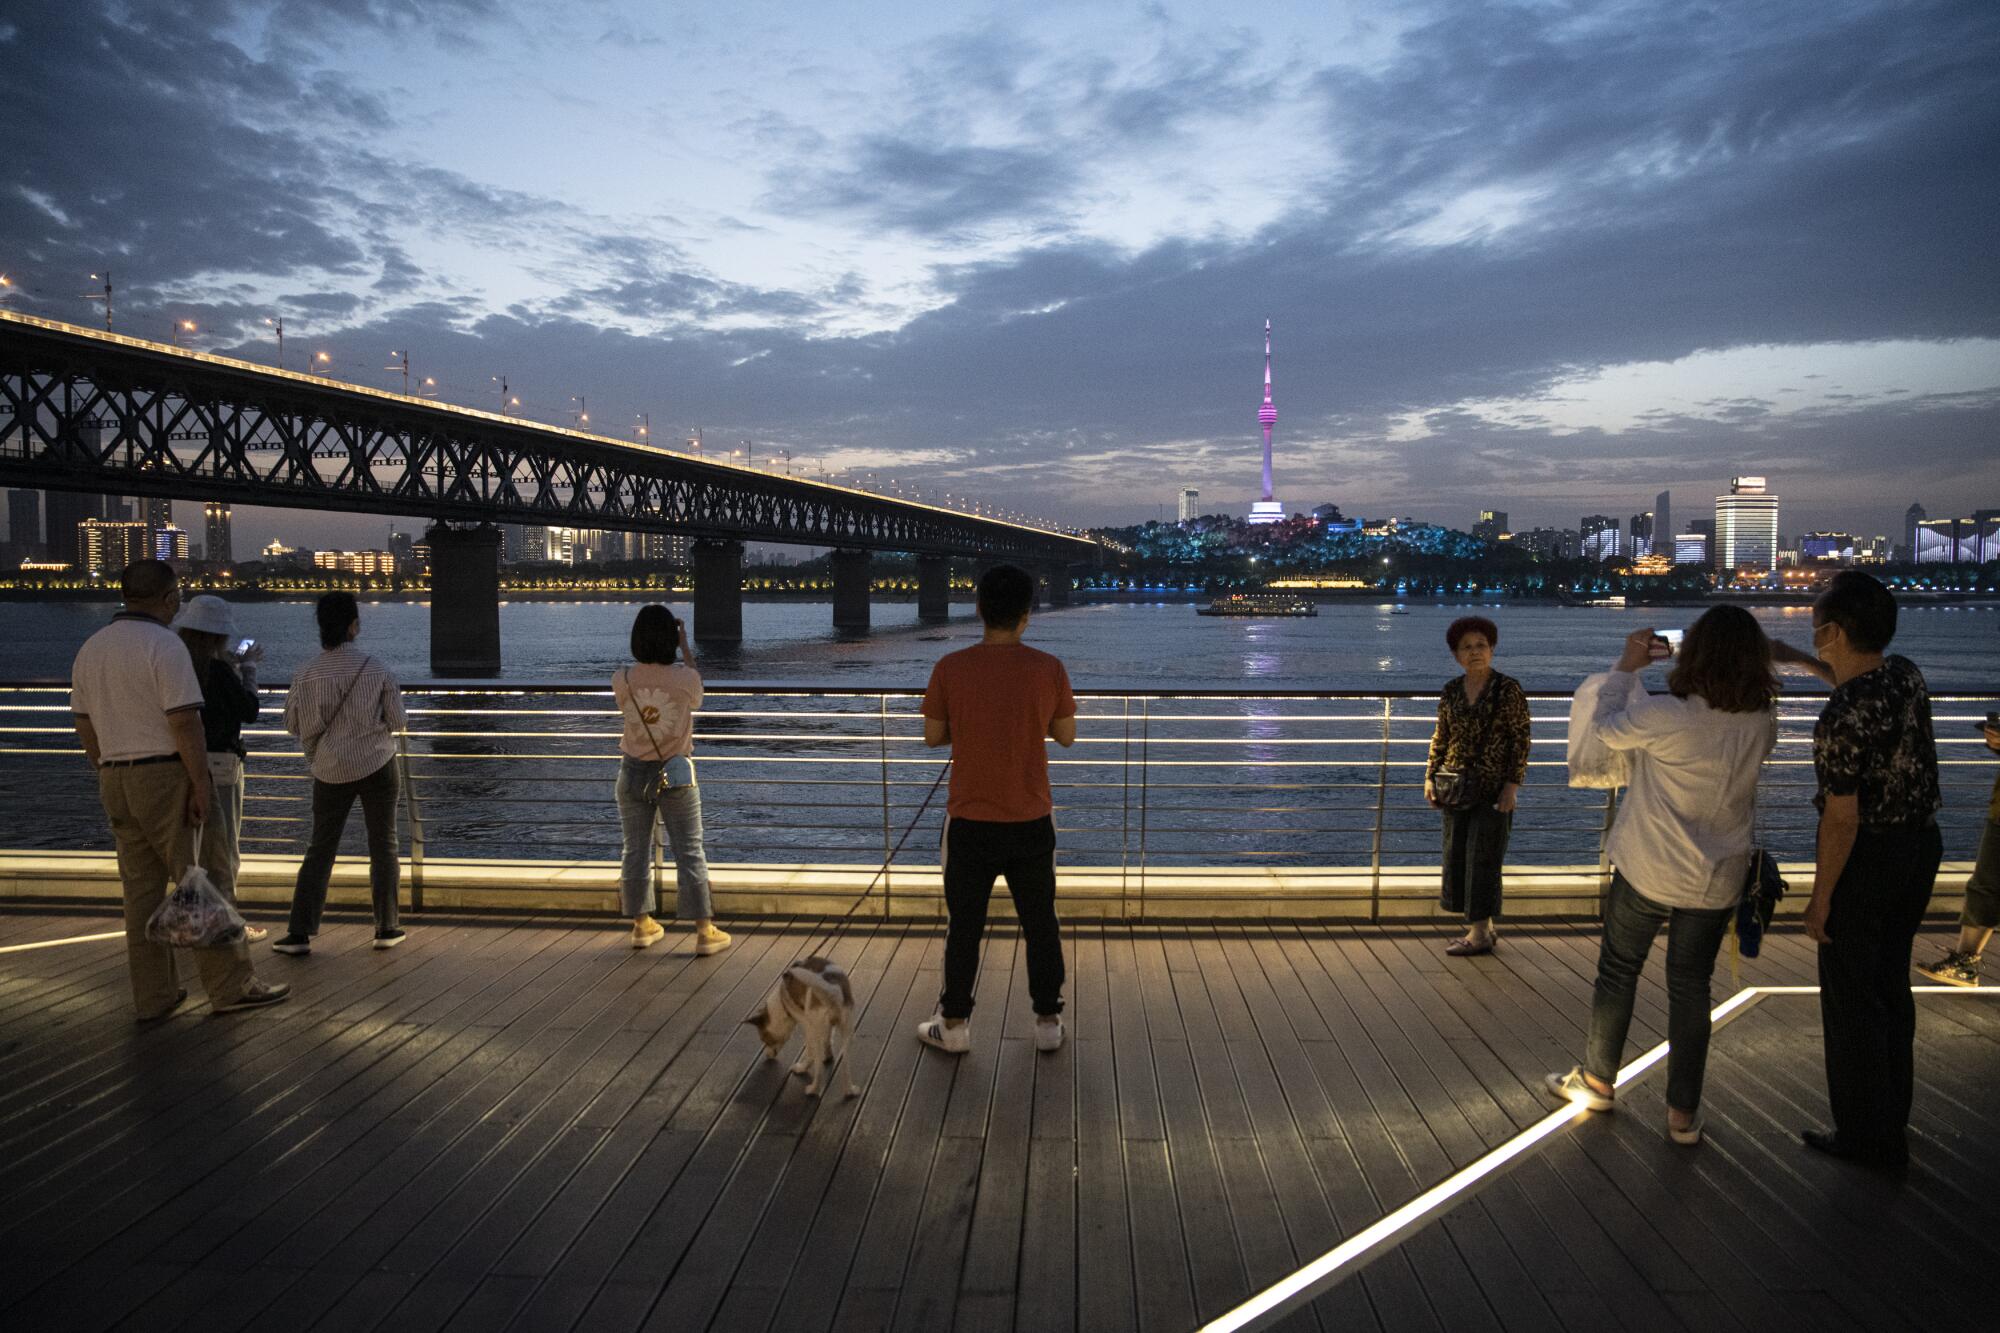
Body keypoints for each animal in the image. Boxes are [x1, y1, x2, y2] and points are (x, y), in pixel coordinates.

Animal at [740, 956, 856, 1096]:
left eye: (765, 1040)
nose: (767, 1056)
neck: (782, 1001)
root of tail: (833, 990)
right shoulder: (827, 1028)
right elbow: (828, 1041)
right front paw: (828, 1056)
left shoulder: (807, 1026)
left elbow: (810, 1053)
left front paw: (805, 1066)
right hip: (847, 1031)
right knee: (846, 1066)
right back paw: (850, 1091)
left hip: (816, 1030)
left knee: (818, 1068)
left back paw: (811, 1087)